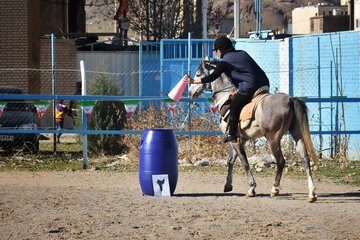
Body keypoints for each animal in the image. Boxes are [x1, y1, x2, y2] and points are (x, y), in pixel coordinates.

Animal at [188, 60, 318, 202]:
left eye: (198, 74)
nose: (190, 92)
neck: (226, 98)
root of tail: (290, 99)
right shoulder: (240, 139)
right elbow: (231, 161)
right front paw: (228, 185)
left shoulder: (235, 140)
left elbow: (244, 162)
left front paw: (251, 188)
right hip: (297, 134)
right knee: (305, 159)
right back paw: (311, 193)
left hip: (273, 138)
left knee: (280, 161)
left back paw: (275, 189)